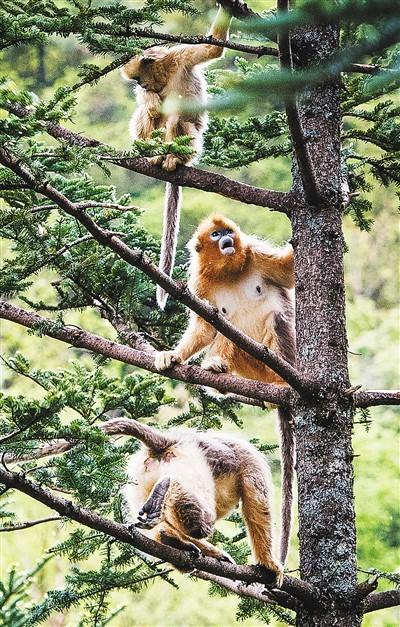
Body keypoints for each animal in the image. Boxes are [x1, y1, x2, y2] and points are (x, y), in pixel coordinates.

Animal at [3, 418, 284, 588]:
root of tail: (166, 441)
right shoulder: (251, 464)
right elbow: (258, 506)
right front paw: (269, 565)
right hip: (187, 459)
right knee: (201, 521)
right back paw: (168, 493)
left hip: (139, 476)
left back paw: (170, 537)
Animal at [123, 3, 233, 310]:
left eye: (138, 78)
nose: (142, 87)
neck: (164, 73)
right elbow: (147, 106)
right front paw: (148, 99)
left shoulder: (181, 57)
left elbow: (211, 49)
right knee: (150, 114)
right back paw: (152, 154)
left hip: (193, 144)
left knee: (176, 118)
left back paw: (173, 159)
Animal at [155, 215, 296, 564]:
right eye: (216, 234)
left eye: (228, 232)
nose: (225, 240)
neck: (229, 270)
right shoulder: (199, 283)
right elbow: (205, 327)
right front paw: (174, 355)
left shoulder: (256, 253)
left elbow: (288, 273)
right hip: (248, 365)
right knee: (223, 329)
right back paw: (217, 368)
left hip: (284, 356)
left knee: (277, 316)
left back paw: (280, 381)